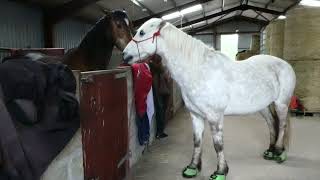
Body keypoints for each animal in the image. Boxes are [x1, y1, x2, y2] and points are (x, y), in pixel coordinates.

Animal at [122, 18, 296, 180]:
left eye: (142, 33)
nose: (124, 55)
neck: (200, 71)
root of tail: (286, 65)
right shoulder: (196, 115)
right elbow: (197, 142)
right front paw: (192, 168)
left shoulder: (214, 117)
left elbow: (218, 145)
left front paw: (220, 172)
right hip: (263, 107)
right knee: (272, 123)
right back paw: (270, 151)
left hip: (281, 104)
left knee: (282, 125)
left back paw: (279, 153)